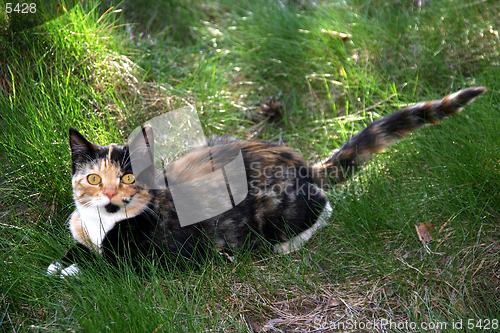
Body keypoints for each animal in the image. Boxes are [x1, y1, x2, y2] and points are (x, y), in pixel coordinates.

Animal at [46, 85, 484, 274]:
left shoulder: (154, 258)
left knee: (324, 206)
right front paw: (60, 262)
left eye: (128, 176)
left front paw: (74, 271)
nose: (111, 196)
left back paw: (284, 245)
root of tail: (300, 162)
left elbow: (110, 270)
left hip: (274, 209)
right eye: (92, 179)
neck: (101, 224)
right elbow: (75, 249)